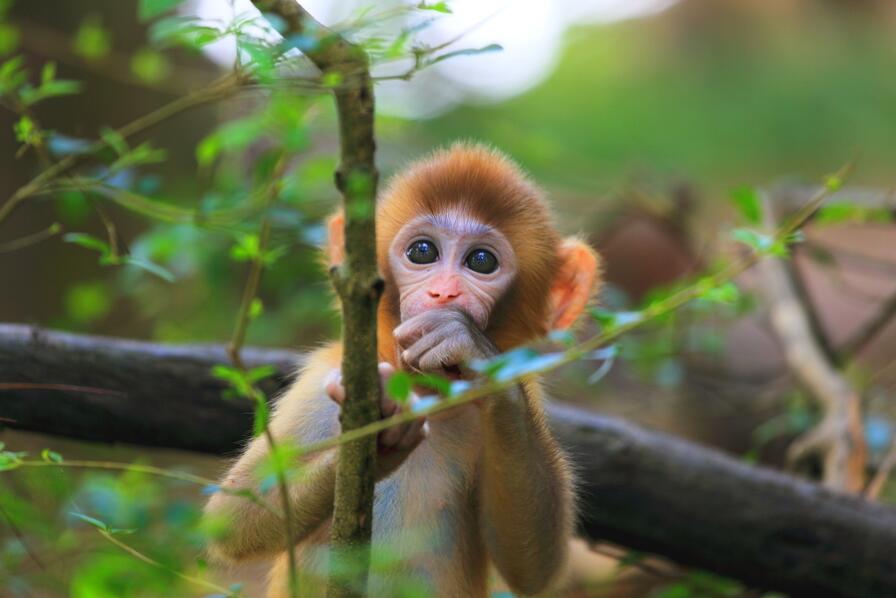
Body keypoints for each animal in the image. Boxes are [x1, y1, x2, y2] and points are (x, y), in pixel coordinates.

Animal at [200, 143, 600, 596]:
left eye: (481, 261)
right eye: (422, 252)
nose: (444, 293)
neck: (424, 389)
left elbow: (535, 567)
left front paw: (465, 344)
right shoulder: (320, 383)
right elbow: (234, 512)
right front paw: (372, 436)